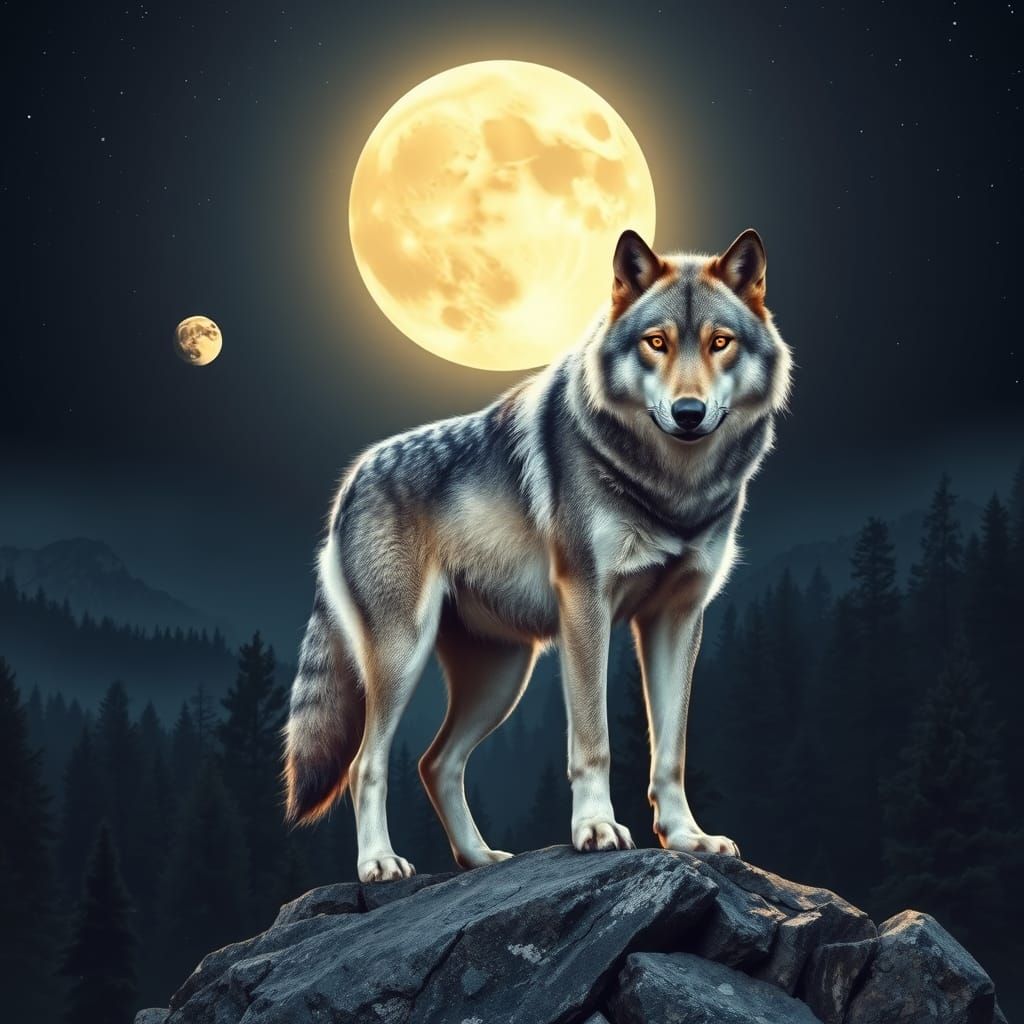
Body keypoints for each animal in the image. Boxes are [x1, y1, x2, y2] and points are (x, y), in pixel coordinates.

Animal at [283, 228, 792, 882]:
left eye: (719, 343)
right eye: (656, 342)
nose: (688, 413)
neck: (672, 490)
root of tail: (352, 480)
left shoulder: (677, 618)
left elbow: (671, 750)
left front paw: (685, 837)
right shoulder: (586, 605)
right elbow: (594, 741)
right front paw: (596, 829)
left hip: (503, 675)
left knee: (435, 763)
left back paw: (478, 858)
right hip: (404, 655)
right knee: (364, 765)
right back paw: (379, 863)